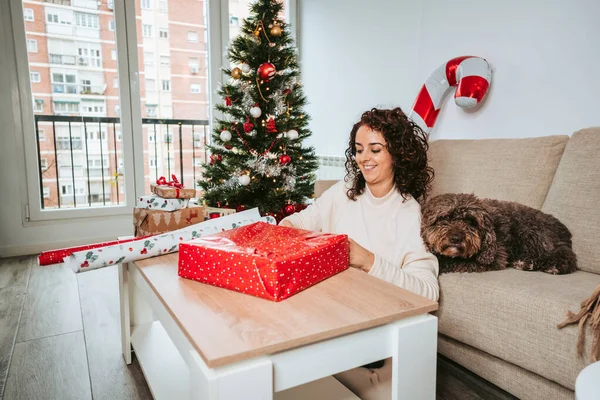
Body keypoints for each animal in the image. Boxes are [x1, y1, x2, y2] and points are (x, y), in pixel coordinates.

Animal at [420, 194, 580, 276]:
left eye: (471, 221)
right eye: (443, 218)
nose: (456, 238)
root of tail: (563, 229)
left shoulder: (496, 258)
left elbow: (451, 262)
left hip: (531, 233)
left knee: (565, 257)